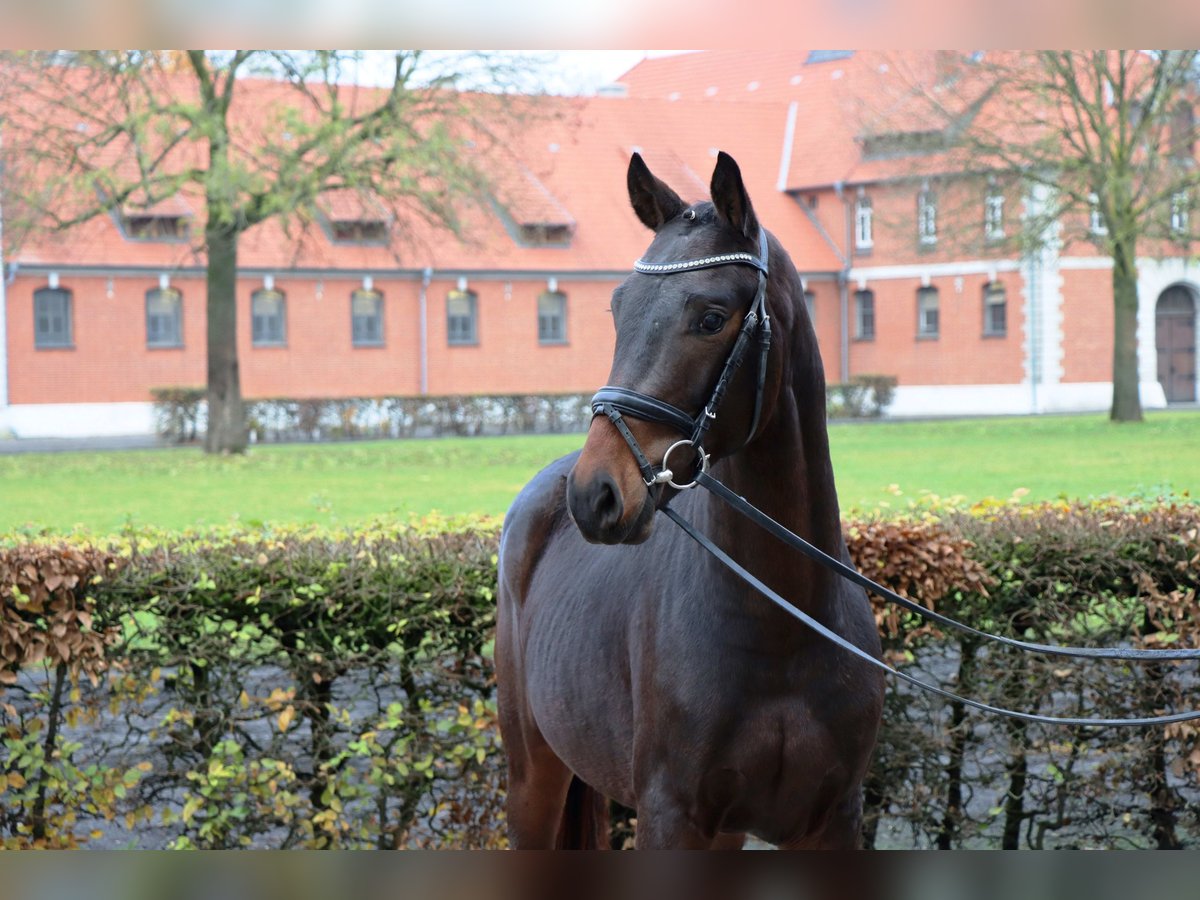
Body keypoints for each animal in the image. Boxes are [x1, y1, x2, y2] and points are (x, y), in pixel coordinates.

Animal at [494, 151, 883, 849]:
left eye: (710, 317)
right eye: (617, 308)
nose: (596, 494)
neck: (780, 630)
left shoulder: (832, 819)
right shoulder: (671, 815)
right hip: (532, 780)